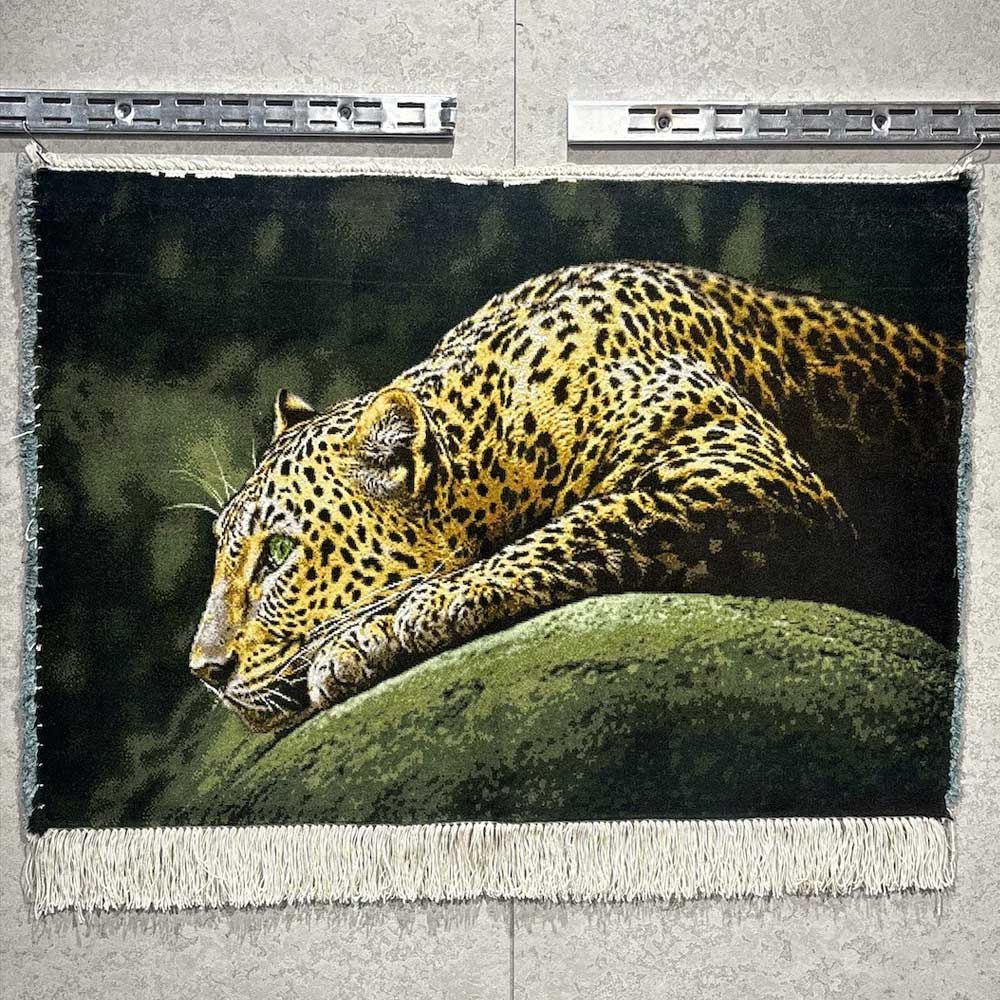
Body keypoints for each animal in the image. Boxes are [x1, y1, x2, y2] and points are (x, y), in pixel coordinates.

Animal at [189, 260, 965, 732]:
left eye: (277, 554)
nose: (202, 671)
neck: (501, 437)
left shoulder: (743, 464)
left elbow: (567, 530)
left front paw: (380, 630)